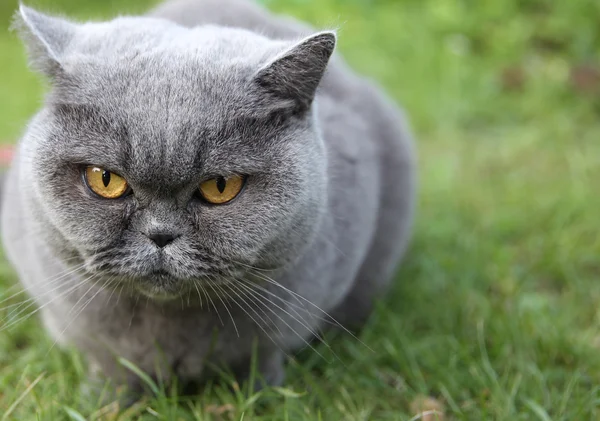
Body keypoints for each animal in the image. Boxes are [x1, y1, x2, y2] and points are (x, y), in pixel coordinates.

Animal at [0, 0, 414, 398]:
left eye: (221, 186)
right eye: (105, 180)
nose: (161, 235)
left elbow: (260, 361)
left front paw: (262, 396)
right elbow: (110, 368)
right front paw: (105, 400)